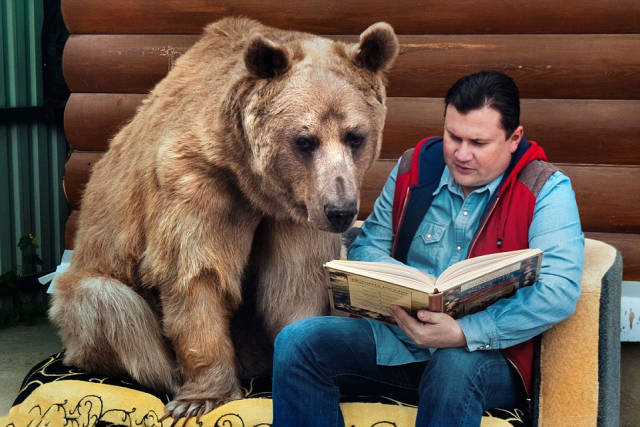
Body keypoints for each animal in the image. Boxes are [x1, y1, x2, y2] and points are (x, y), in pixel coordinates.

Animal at [50, 16, 398, 422]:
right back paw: (170, 375)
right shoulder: (196, 181)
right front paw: (201, 396)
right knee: (112, 306)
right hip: (90, 288)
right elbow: (196, 272)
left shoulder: (296, 212)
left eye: (355, 136)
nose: (340, 210)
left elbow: (294, 281)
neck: (251, 181)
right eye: (304, 139)